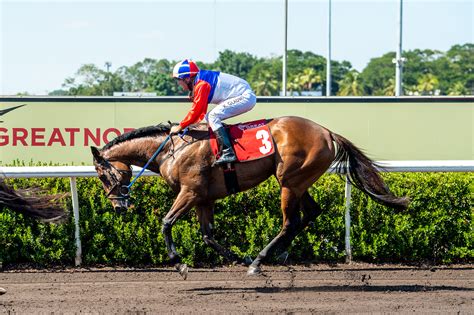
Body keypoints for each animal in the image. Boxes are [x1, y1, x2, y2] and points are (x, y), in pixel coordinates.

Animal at [90, 116, 410, 278]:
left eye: (103, 175)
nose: (118, 206)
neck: (171, 149)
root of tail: (328, 132)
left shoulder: (190, 191)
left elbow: (166, 223)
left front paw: (180, 264)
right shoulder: (204, 198)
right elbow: (208, 236)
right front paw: (239, 257)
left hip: (288, 181)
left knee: (290, 221)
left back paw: (261, 259)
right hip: (300, 181)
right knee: (310, 214)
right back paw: (278, 253)